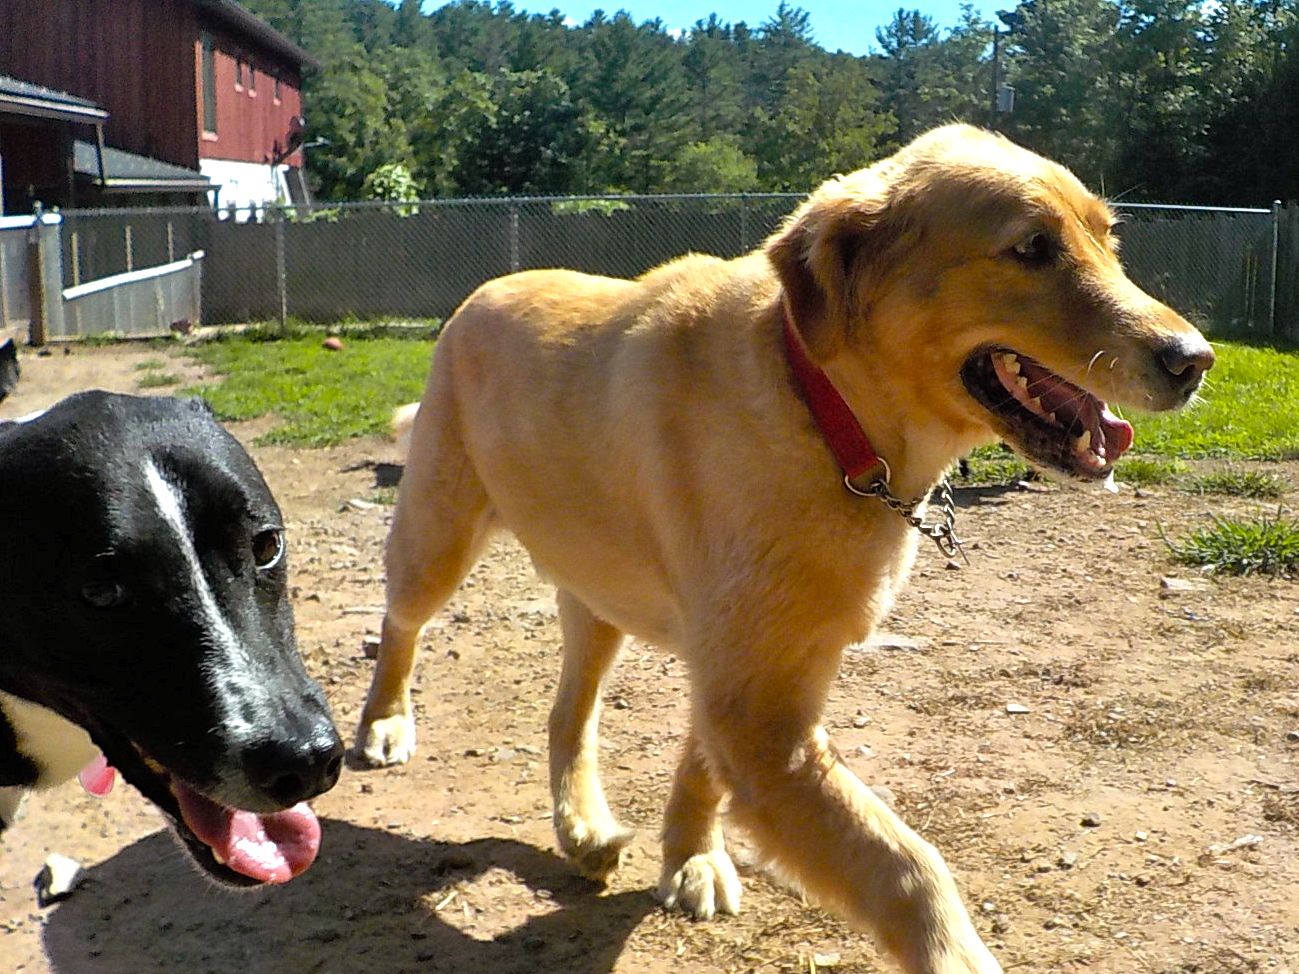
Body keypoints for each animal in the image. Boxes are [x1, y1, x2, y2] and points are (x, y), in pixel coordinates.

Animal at [355, 125, 1213, 973]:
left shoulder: (754, 679)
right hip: (437, 538)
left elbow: (699, 772)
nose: (1194, 360)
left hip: (598, 598)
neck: (830, 416)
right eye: (1031, 246)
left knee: (568, 713)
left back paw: (586, 832)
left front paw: (690, 858)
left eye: (1108, 239)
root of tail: (485, 291)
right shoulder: (759, 713)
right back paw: (384, 724)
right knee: (400, 626)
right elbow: (908, 868)